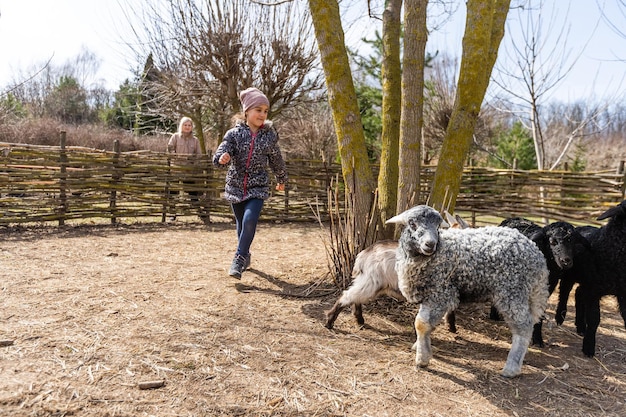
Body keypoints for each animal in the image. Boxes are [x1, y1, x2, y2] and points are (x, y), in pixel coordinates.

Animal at [386, 205, 544, 376]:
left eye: (437, 226)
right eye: (412, 223)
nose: (430, 244)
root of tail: (536, 254)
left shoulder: (440, 293)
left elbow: (421, 324)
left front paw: (422, 359)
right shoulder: (430, 294)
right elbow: (426, 325)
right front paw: (419, 346)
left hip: (512, 291)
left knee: (524, 326)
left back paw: (511, 368)